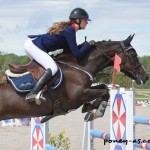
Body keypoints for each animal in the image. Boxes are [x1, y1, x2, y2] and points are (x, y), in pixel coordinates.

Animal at [0, 34, 148, 122]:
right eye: (133, 54)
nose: (145, 77)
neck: (80, 65)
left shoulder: (87, 89)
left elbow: (104, 88)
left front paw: (91, 108)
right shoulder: (77, 97)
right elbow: (105, 91)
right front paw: (95, 111)